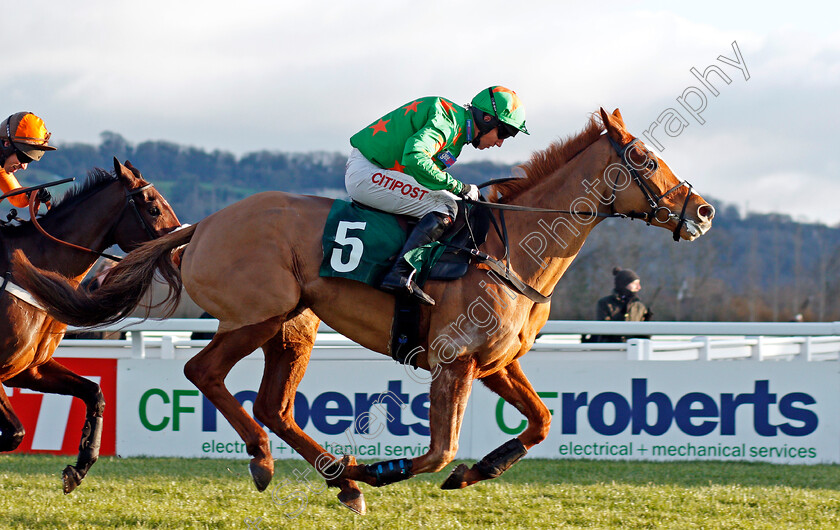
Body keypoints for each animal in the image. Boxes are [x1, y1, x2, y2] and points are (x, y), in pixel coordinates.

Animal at [2, 160, 180, 490]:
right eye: (153, 209)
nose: (179, 252)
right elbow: (15, 434)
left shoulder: (28, 368)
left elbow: (95, 394)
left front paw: (80, 466)